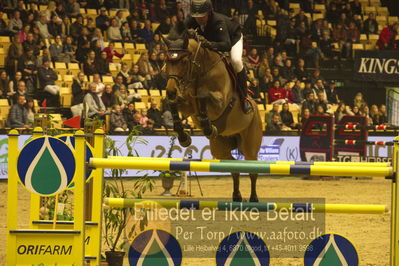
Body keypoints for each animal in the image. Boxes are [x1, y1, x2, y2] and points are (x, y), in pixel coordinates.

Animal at [162, 29, 262, 202]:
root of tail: (257, 108)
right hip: (221, 147)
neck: (200, 70)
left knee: (252, 169)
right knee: (233, 165)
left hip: (250, 144)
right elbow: (175, 105)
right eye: (167, 61)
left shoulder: (219, 103)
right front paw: (184, 137)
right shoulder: (187, 105)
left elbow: (204, 96)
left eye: (183, 61)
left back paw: (254, 199)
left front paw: (208, 128)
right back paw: (237, 196)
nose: (171, 91)